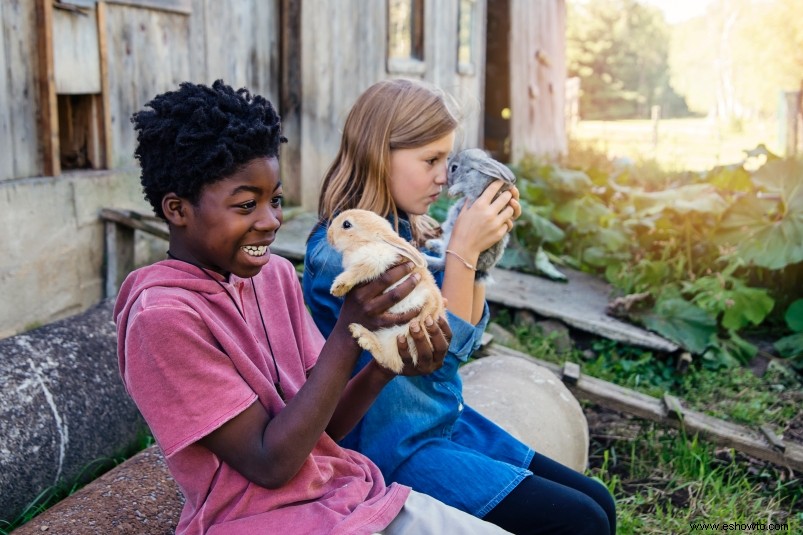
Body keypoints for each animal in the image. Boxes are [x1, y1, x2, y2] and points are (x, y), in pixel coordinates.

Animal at [330, 209, 450, 372]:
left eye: (346, 224)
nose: (329, 234)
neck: (366, 242)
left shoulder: (374, 260)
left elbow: (356, 272)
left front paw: (337, 288)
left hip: (400, 336)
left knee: (389, 360)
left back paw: (362, 334)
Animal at [428, 147, 516, 280]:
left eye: (454, 168)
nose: (447, 182)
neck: (472, 171)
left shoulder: (476, 183)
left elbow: (464, 185)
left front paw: (452, 191)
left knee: (444, 263)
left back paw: (426, 257)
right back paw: (431, 244)